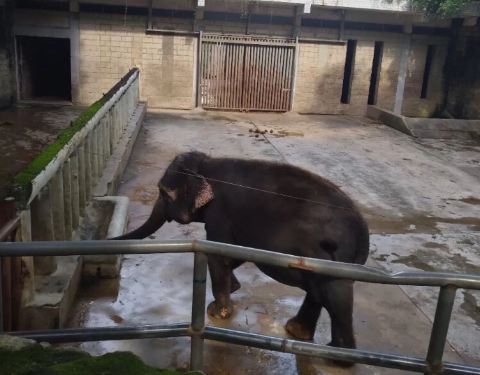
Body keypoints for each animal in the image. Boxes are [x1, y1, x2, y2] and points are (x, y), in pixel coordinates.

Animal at [112, 151, 368, 354]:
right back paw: (298, 332)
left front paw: (217, 313)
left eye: (163, 193)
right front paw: (234, 287)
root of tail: (363, 231)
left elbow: (218, 253)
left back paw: (338, 354)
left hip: (330, 259)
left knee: (334, 294)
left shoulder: (220, 213)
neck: (207, 165)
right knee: (319, 291)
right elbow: (235, 254)